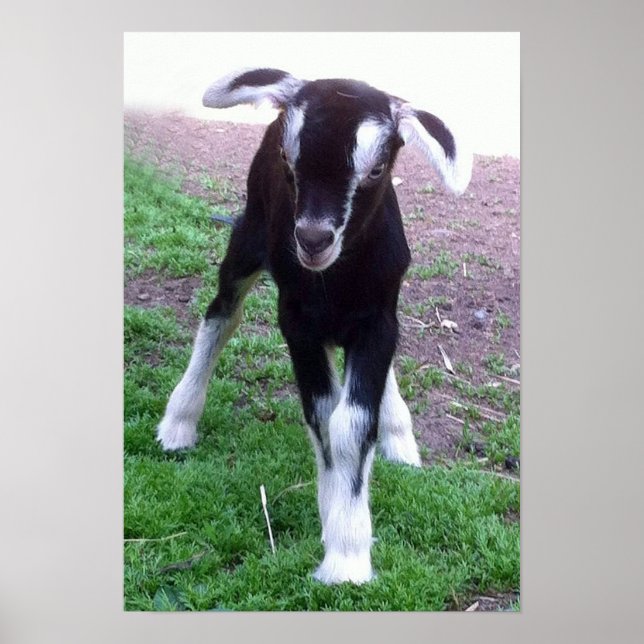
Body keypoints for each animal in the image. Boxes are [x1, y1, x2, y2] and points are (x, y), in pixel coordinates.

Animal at [156, 68, 472, 585]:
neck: (336, 282)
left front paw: (347, 549)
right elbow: (324, 418)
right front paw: (340, 533)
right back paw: (179, 422)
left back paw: (399, 434)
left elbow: (353, 421)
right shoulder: (298, 323)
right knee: (222, 313)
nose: (312, 239)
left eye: (377, 168)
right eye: (288, 157)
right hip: (249, 234)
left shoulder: (378, 320)